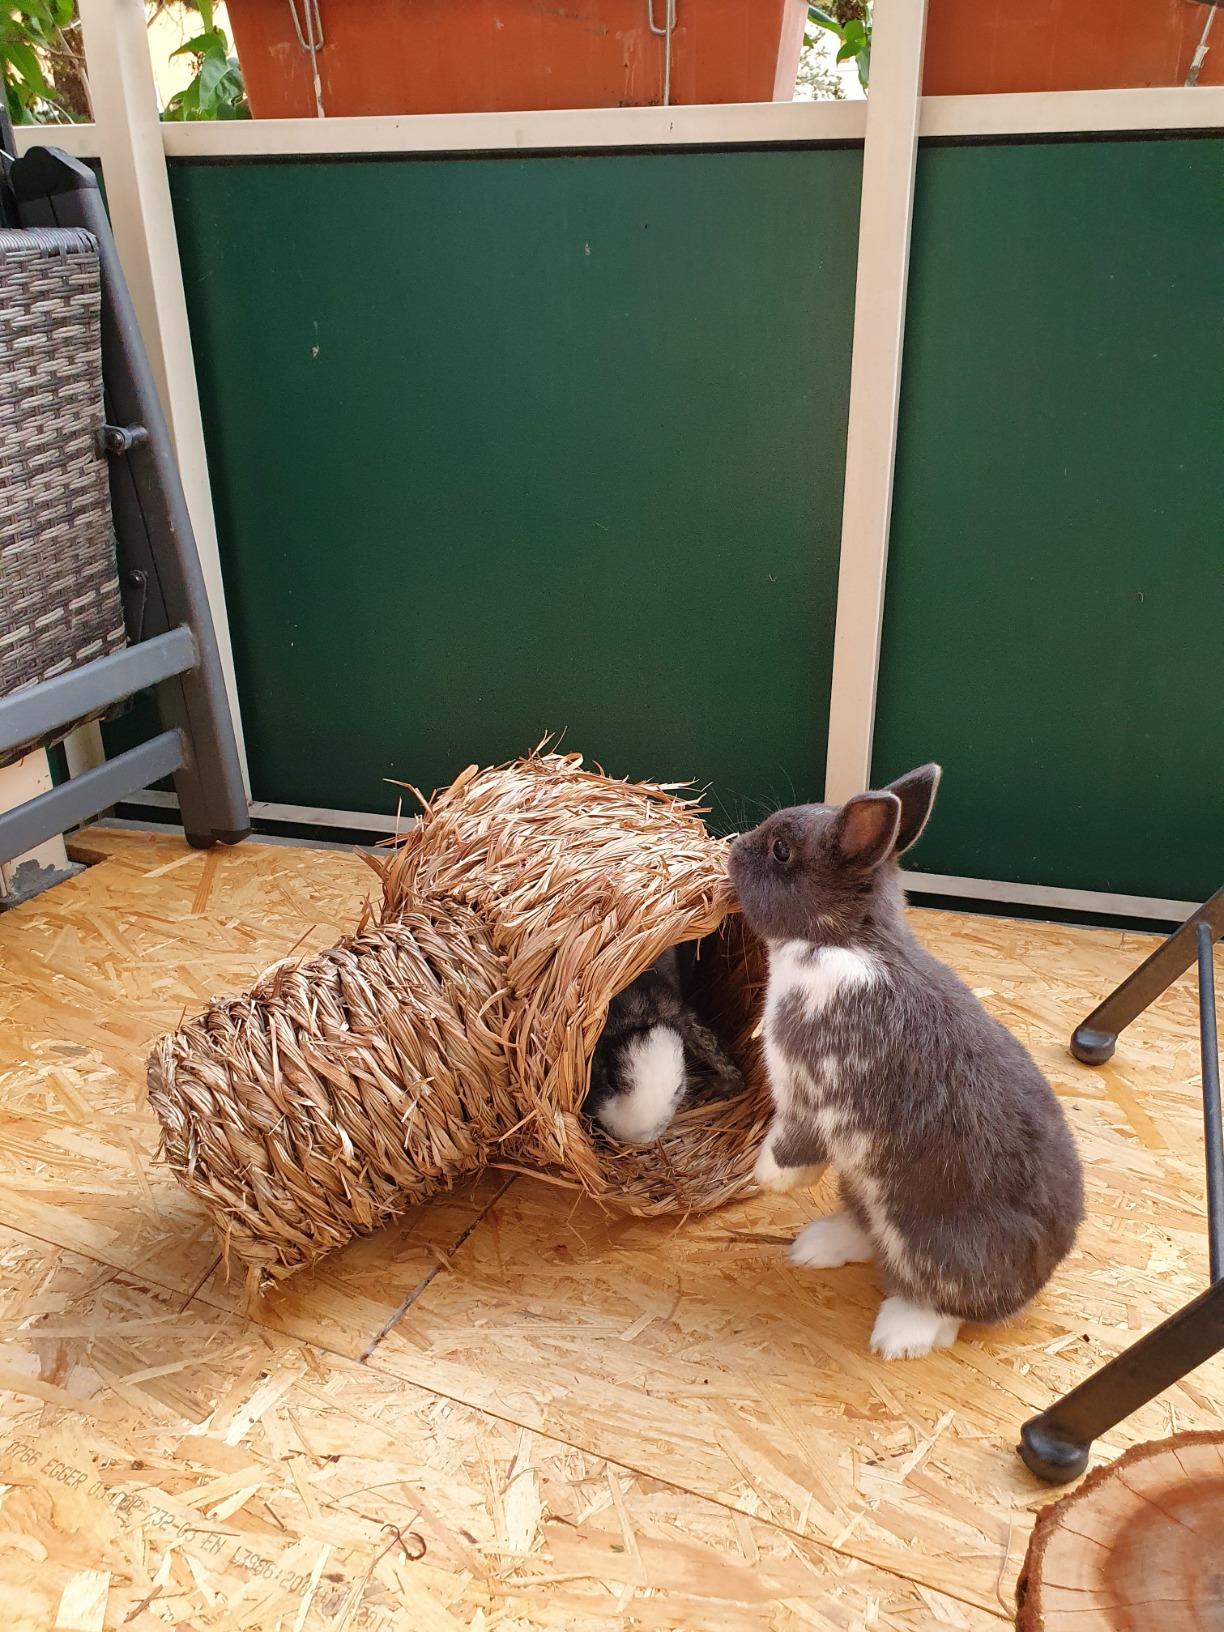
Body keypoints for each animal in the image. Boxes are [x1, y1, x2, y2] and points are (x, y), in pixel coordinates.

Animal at [727, 764, 1083, 1360]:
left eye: (780, 850)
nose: (733, 846)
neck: (844, 942)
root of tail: (1034, 1285)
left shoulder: (814, 1093)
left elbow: (792, 1144)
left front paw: (768, 1179)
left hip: (930, 1242)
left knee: (944, 1306)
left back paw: (898, 1335)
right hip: (862, 1189)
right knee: (865, 1232)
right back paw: (814, 1247)